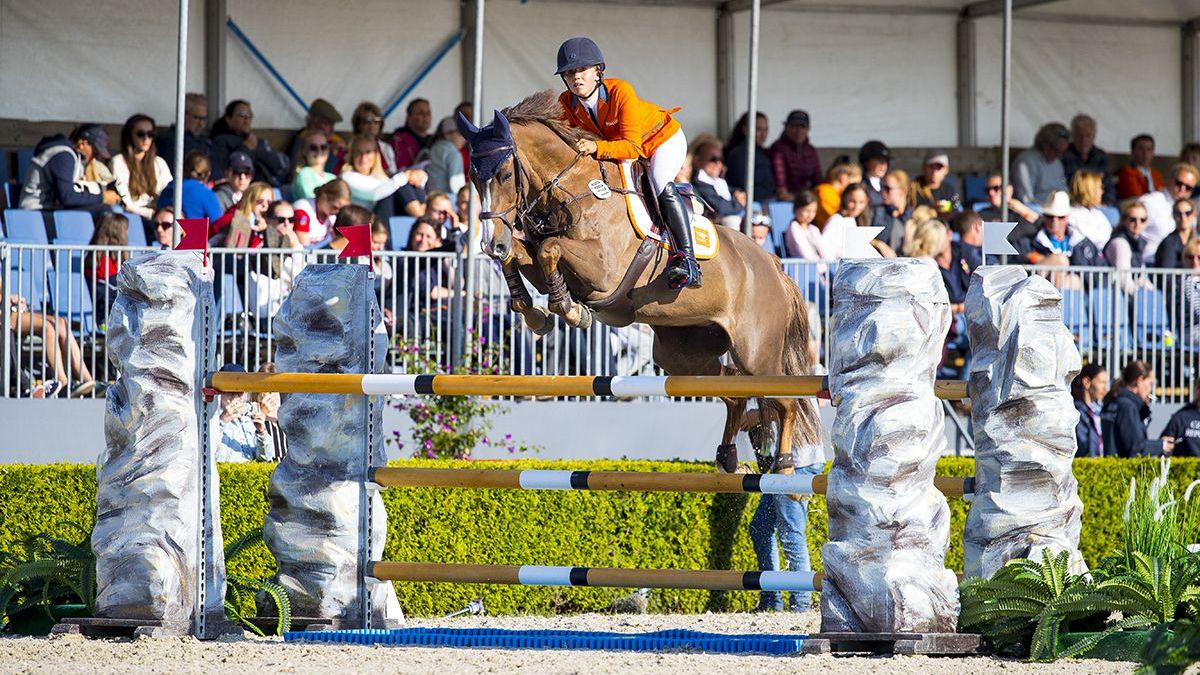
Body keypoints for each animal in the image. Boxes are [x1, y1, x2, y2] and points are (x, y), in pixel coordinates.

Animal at [458, 89, 825, 470]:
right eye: (473, 177)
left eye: (503, 174)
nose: (490, 242)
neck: (576, 190)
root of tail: (775, 266)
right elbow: (523, 255)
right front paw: (532, 311)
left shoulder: (603, 272)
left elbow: (549, 249)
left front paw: (568, 310)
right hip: (682, 355)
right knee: (734, 391)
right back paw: (728, 457)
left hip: (756, 352)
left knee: (785, 400)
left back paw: (783, 462)